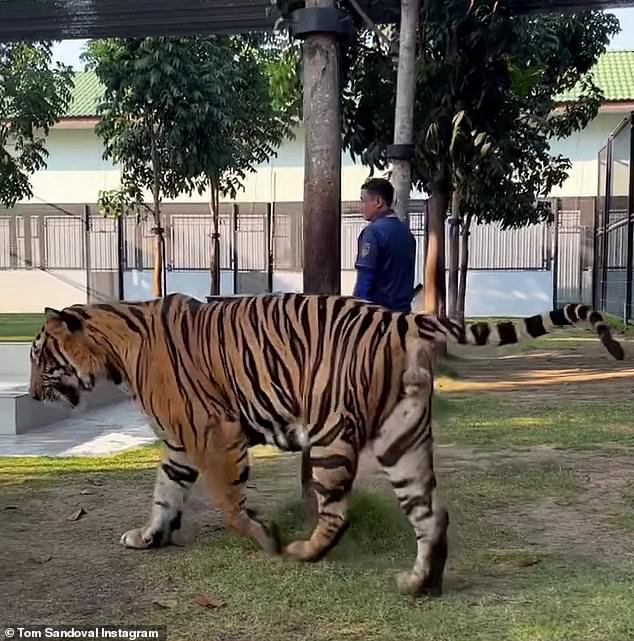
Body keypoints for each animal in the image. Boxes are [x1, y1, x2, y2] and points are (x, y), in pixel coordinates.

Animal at [28, 292, 624, 596]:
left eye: (40, 359)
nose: (31, 394)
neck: (115, 349)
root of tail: (403, 318)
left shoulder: (213, 433)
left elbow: (227, 503)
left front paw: (263, 536)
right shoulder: (179, 444)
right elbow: (163, 493)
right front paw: (150, 537)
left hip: (332, 434)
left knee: (339, 512)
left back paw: (301, 551)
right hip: (402, 437)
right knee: (432, 513)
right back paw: (419, 583)